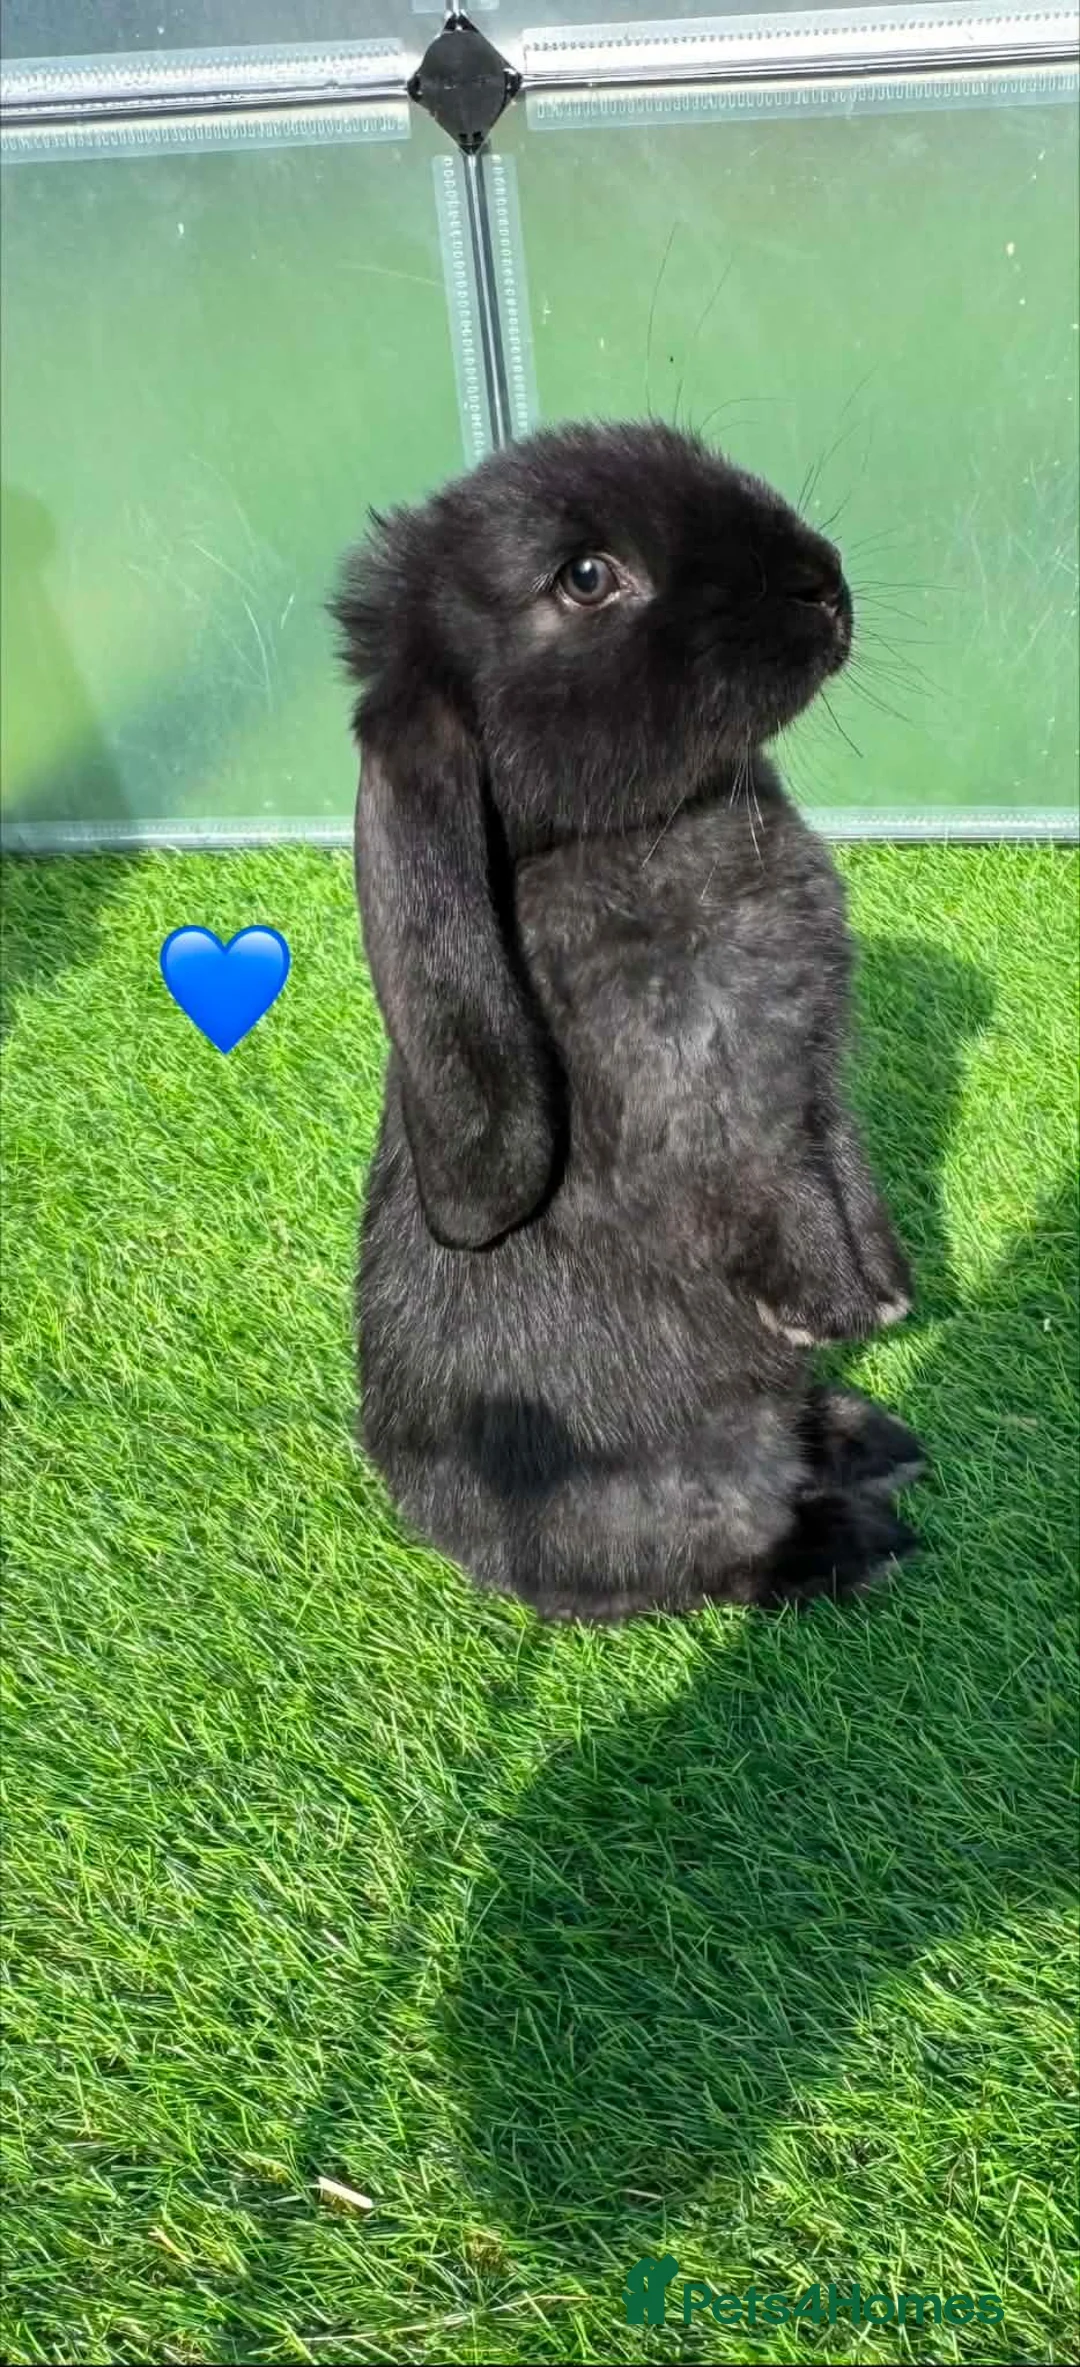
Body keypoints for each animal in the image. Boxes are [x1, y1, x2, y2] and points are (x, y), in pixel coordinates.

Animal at [332, 419, 926, 1622]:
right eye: (586, 577)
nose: (824, 584)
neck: (659, 823)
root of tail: (451, 1535)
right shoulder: (709, 1095)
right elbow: (772, 1187)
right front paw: (832, 1310)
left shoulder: (814, 1078)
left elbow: (840, 1153)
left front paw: (885, 1287)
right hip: (689, 1486)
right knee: (714, 1560)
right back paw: (851, 1535)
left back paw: (868, 1436)